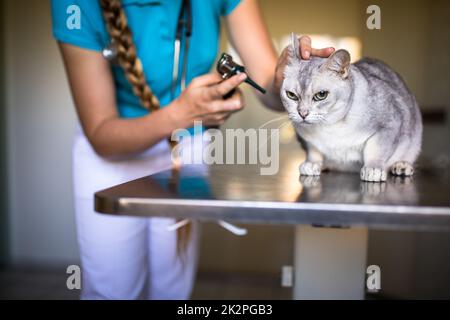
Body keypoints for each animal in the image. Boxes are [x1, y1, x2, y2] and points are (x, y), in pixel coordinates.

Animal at [282, 34, 422, 182]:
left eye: (321, 95)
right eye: (291, 95)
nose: (302, 113)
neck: (329, 127)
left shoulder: (389, 124)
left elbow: (375, 151)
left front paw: (373, 168)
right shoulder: (306, 139)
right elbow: (314, 150)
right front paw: (313, 163)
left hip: (414, 141)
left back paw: (402, 166)